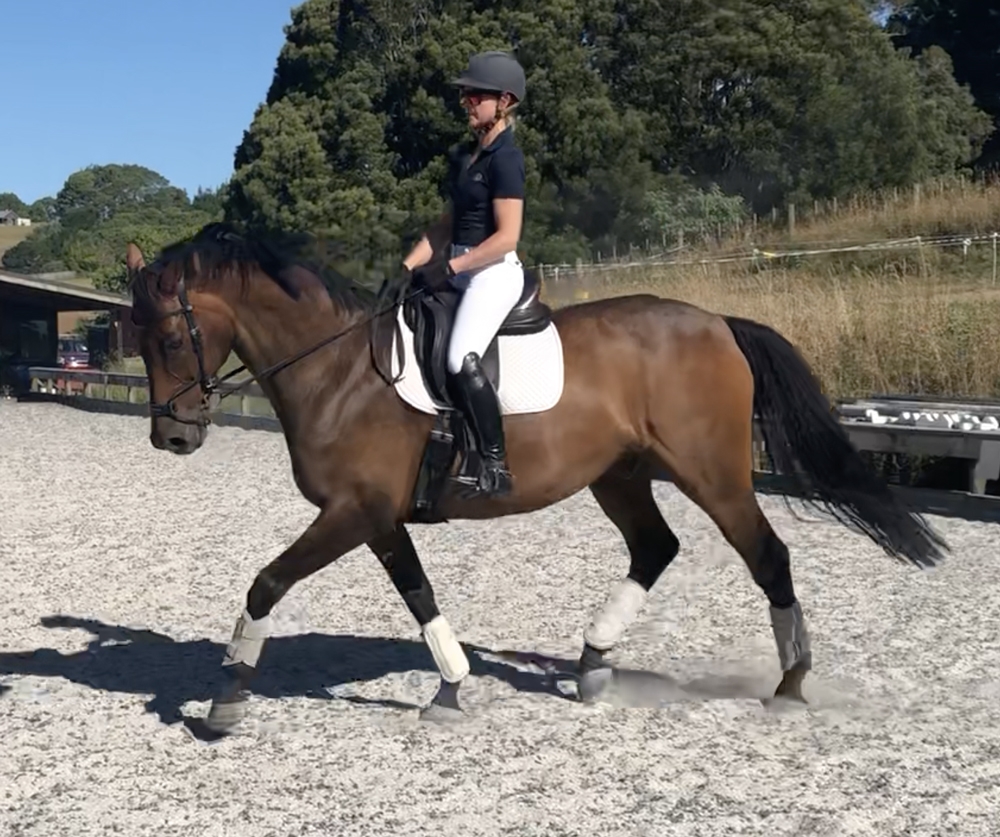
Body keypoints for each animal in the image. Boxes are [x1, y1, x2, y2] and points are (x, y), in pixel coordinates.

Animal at [124, 221, 948, 735]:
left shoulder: (351, 513)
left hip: (712, 473)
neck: (339, 370)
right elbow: (419, 595)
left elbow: (266, 584)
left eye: (170, 336)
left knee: (767, 556)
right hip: (620, 475)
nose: (171, 436)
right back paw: (593, 664)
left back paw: (790, 685)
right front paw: (452, 687)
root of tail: (716, 320)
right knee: (656, 548)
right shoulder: (377, 516)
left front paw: (225, 701)